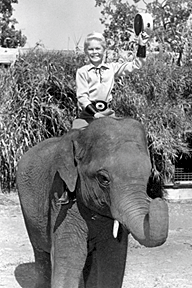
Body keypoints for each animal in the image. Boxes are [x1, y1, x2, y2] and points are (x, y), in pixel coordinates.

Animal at [16, 116, 170, 288]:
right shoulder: (60, 196)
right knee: (41, 251)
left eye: (149, 175)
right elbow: (69, 257)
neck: (80, 135)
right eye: (103, 178)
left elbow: (113, 257)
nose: (158, 199)